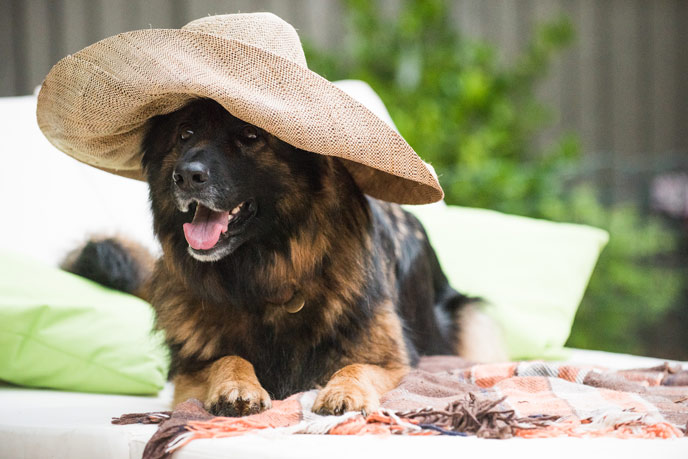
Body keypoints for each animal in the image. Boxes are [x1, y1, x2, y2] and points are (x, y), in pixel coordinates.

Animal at [64, 99, 506, 416]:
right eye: (185, 134)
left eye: (250, 135)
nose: (185, 176)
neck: (270, 276)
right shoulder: (188, 372)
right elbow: (227, 357)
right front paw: (237, 384)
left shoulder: (396, 363)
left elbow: (357, 367)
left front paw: (344, 391)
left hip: (472, 317)